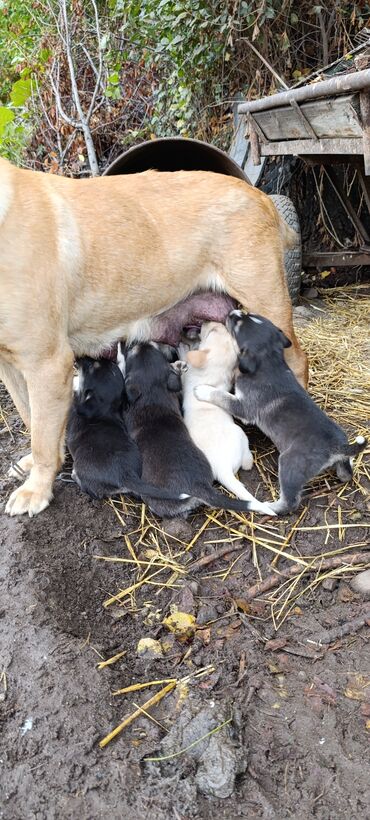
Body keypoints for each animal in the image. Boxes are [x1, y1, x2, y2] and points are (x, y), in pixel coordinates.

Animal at [66, 356, 189, 502]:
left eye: (92, 366)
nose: (78, 358)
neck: (104, 410)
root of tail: (125, 474)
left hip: (83, 469)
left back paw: (75, 476)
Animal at [182, 318, 274, 512]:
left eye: (212, 330)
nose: (209, 319)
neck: (212, 376)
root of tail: (222, 468)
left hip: (239, 434)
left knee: (247, 462)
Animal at [195, 308, 366, 512]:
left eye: (237, 325)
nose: (231, 311)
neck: (269, 361)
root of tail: (337, 447)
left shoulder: (245, 408)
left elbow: (221, 396)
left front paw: (202, 390)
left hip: (289, 466)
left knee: (289, 503)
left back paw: (269, 506)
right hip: (339, 461)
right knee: (346, 474)